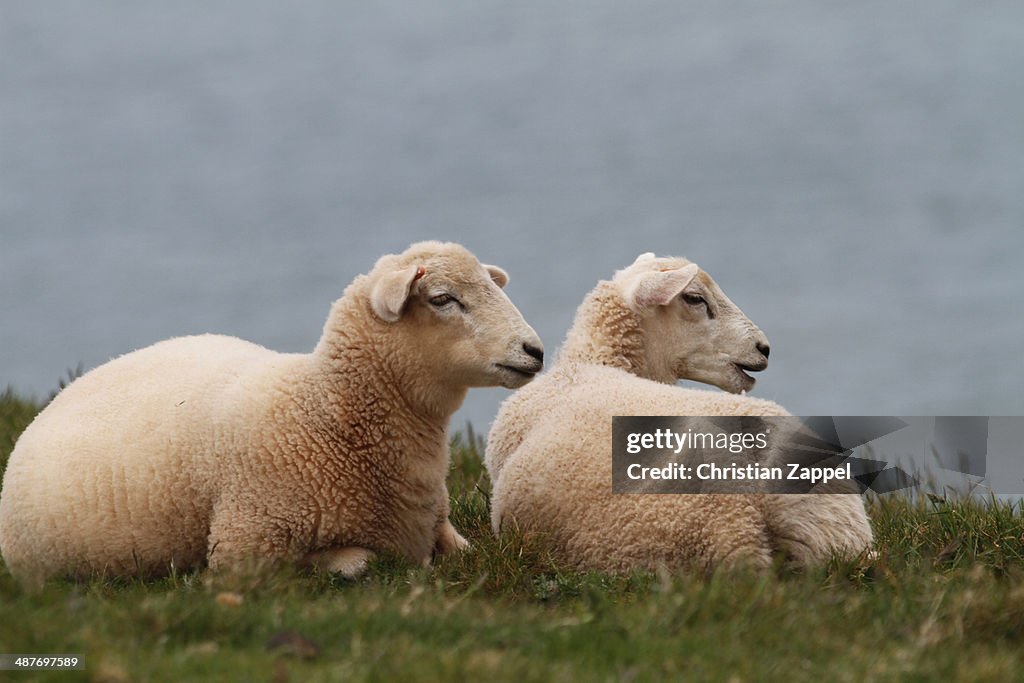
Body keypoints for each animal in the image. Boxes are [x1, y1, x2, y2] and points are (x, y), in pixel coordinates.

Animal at [0, 240, 544, 581]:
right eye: (443, 299)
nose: (534, 350)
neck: (324, 412)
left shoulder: (440, 524)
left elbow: (466, 550)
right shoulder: (246, 550)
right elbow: (358, 563)